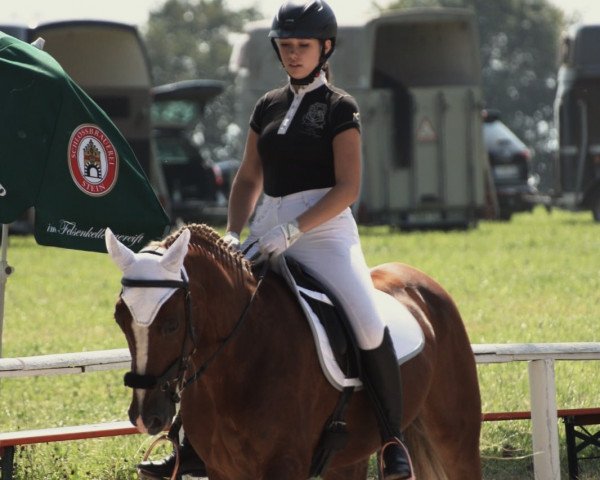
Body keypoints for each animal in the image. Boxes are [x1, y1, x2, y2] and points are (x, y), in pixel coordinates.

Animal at [108, 225, 480, 480]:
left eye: (171, 324)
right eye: (120, 319)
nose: (145, 417)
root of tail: (418, 279)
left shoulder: (285, 465)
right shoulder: (221, 469)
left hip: (457, 438)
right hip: (349, 458)